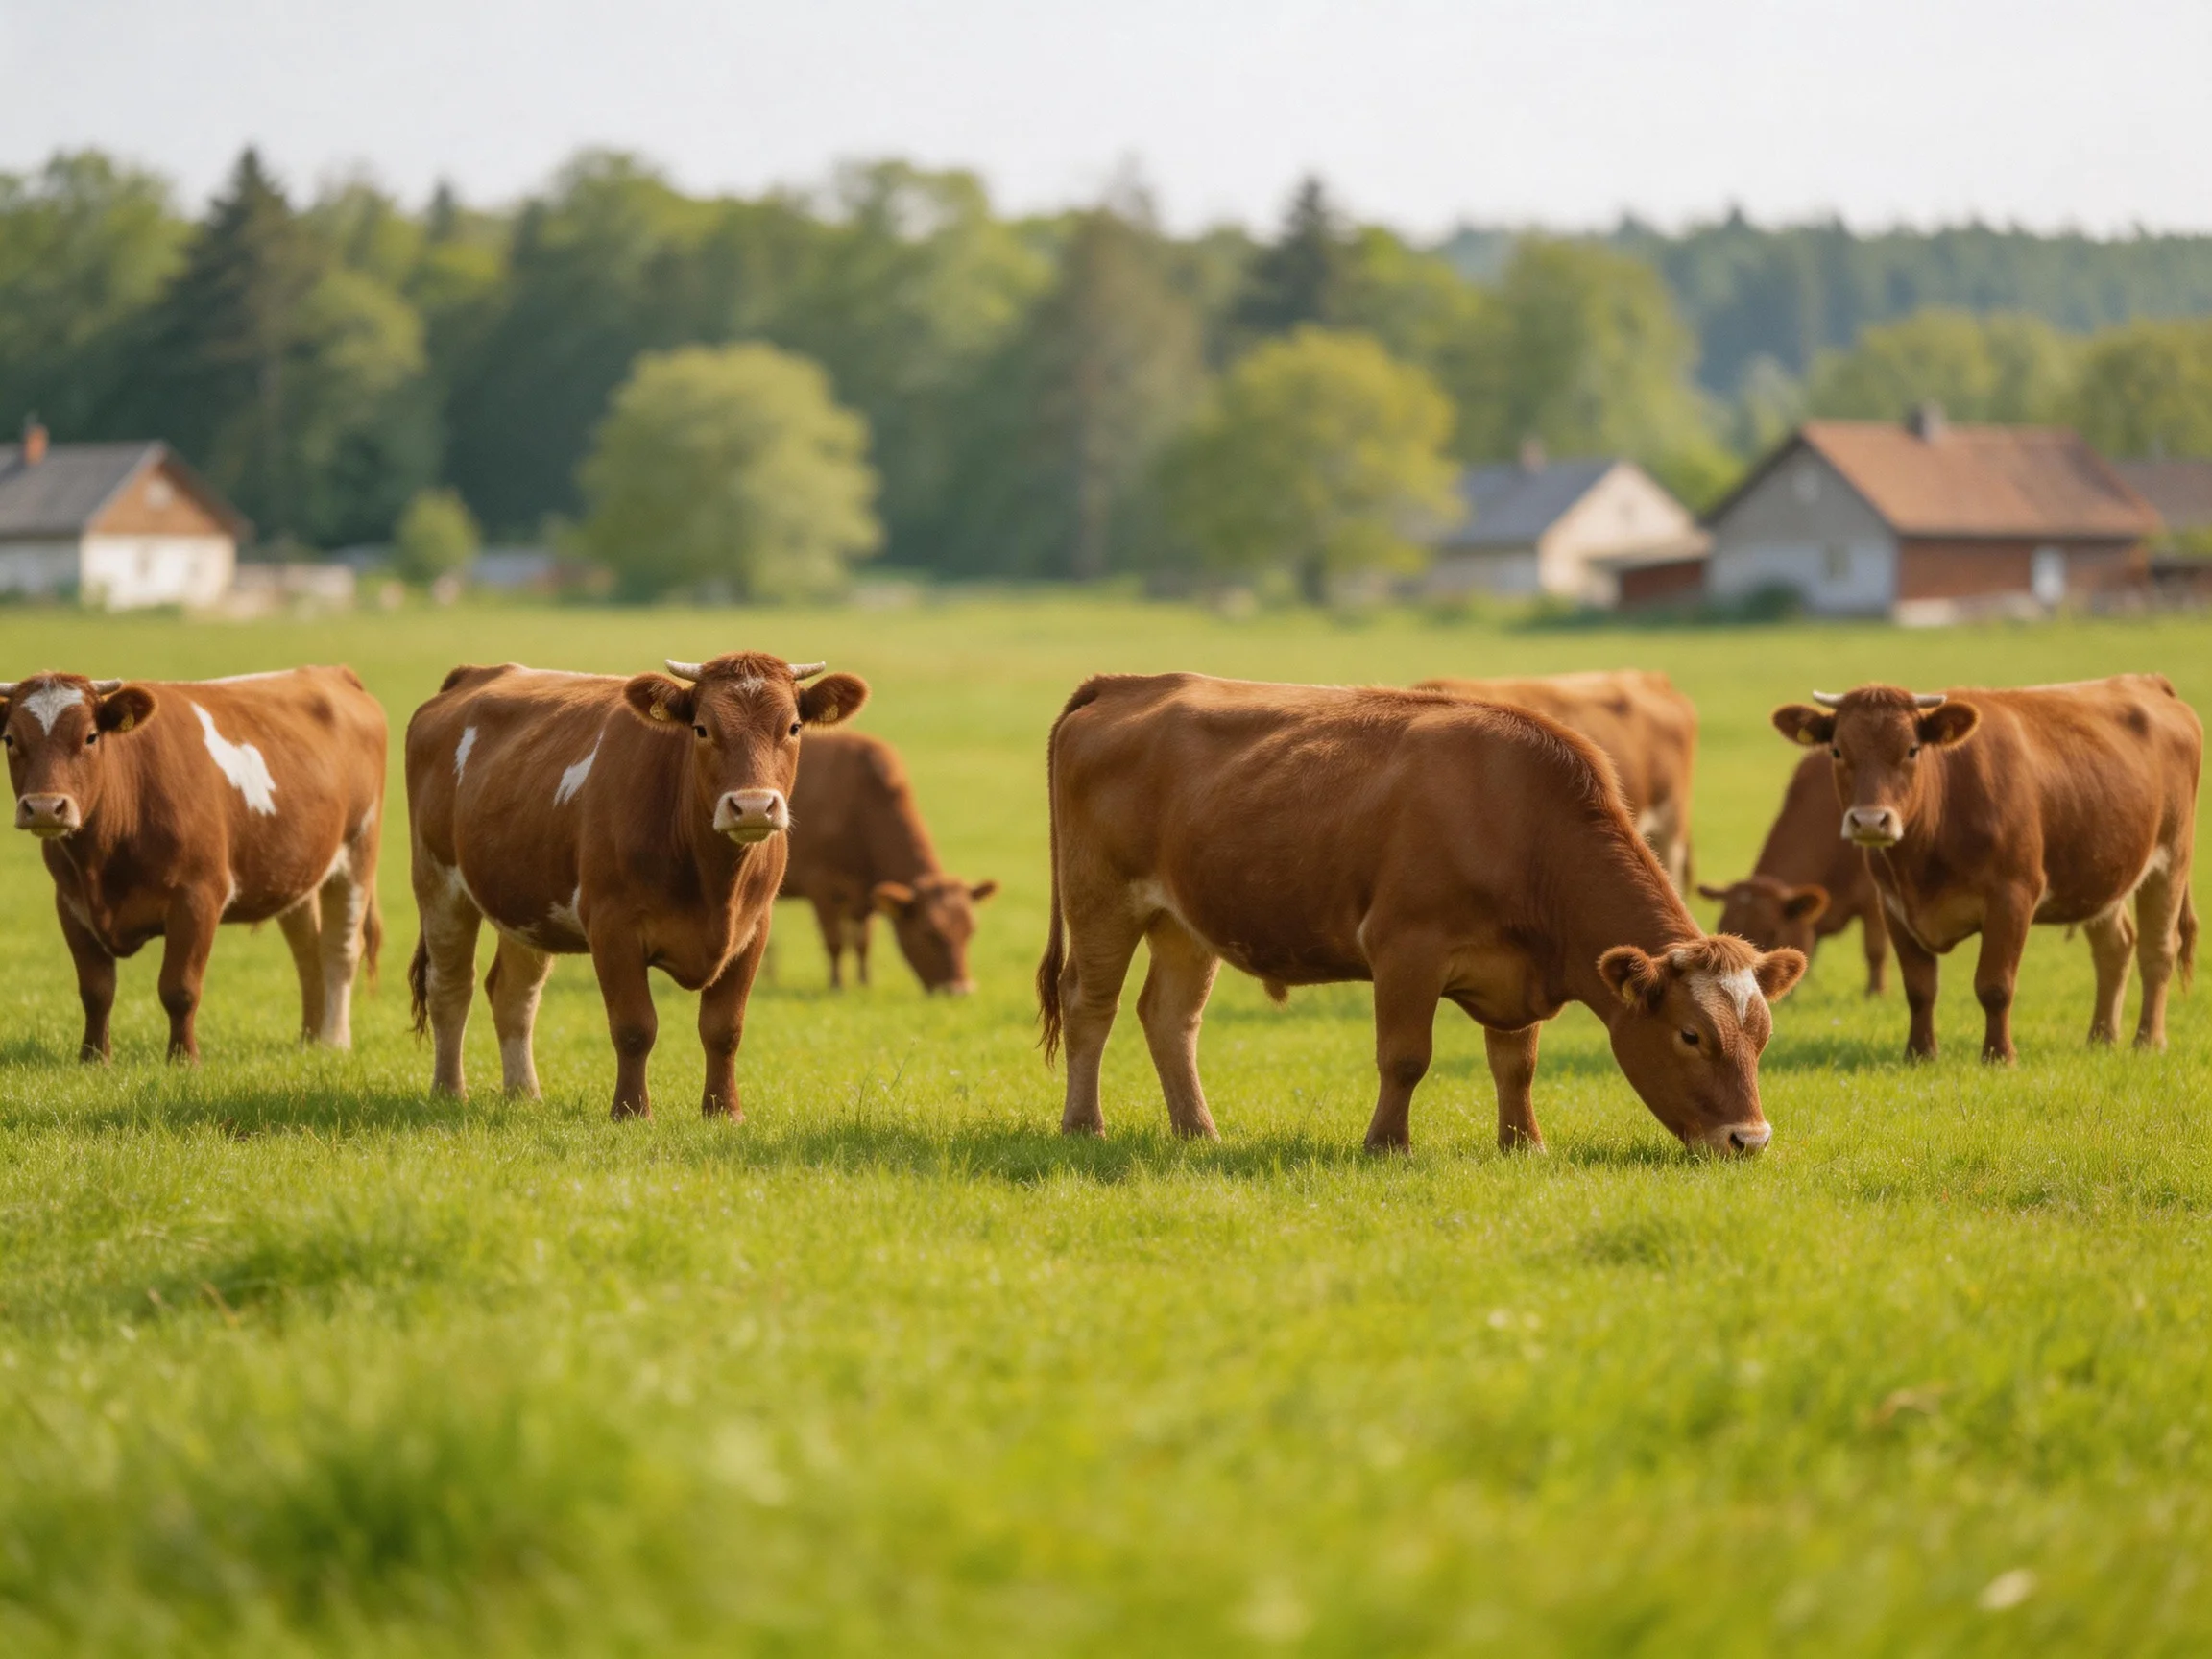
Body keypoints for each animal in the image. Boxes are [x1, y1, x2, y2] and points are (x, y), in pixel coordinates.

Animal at [1, 667, 385, 1062]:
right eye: (10, 739)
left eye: (90, 737)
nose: (44, 807)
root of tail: (330, 671)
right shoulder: (71, 903)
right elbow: (96, 990)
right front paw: (93, 1059)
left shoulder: (198, 896)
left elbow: (179, 989)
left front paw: (183, 1059)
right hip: (297, 871)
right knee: (307, 951)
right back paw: (310, 1039)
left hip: (358, 850)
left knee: (340, 948)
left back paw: (334, 1042)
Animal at [404, 652, 867, 1119]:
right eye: (702, 728)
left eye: (793, 727)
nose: (753, 806)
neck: (713, 882)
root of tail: (474, 674)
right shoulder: (613, 928)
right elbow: (634, 1026)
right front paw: (631, 1111)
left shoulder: (753, 930)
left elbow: (724, 1028)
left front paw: (724, 1111)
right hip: (438, 883)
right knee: (450, 988)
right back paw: (449, 1090)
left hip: (526, 903)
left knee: (514, 995)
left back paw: (524, 1094)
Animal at [777, 726, 996, 993]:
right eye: (929, 933)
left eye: (970, 931)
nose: (960, 990)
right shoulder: (821, 887)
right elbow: (835, 942)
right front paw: (837, 986)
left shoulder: (866, 894)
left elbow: (862, 943)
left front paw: (864, 984)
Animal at [1771, 678, 2199, 1061]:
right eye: (1837, 750)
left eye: (1912, 749)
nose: (1871, 821)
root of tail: (2147, 682)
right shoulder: (1892, 906)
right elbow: (1919, 988)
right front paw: (1920, 1054)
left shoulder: (2012, 897)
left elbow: (1995, 986)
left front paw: (1999, 1055)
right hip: (2101, 876)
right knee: (2115, 948)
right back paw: (2101, 1038)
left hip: (2171, 860)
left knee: (2158, 950)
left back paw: (2148, 1041)